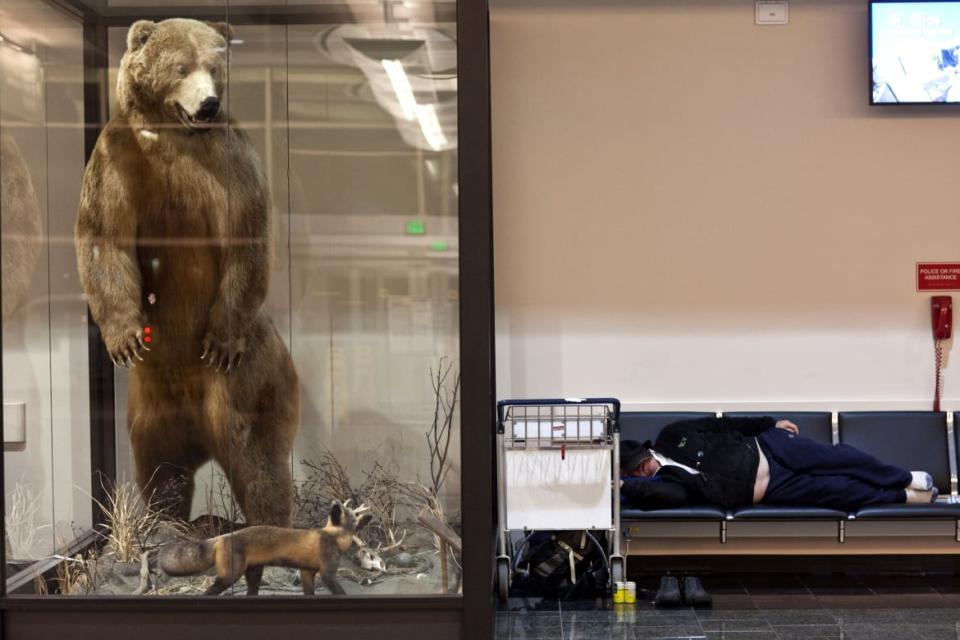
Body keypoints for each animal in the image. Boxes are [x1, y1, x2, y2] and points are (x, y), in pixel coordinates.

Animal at [77, 18, 298, 596]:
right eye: (181, 66)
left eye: (215, 65)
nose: (208, 103)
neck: (174, 135)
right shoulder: (117, 159)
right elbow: (103, 238)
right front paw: (126, 338)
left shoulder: (230, 163)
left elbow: (245, 237)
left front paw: (218, 336)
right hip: (152, 411)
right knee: (160, 469)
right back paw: (167, 524)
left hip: (250, 377)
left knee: (258, 458)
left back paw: (267, 529)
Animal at [153, 500, 372, 596]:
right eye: (348, 513)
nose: (335, 503)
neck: (332, 536)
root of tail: (220, 537)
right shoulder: (327, 572)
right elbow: (339, 590)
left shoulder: (307, 572)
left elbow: (309, 592)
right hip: (230, 575)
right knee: (209, 592)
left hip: (254, 573)